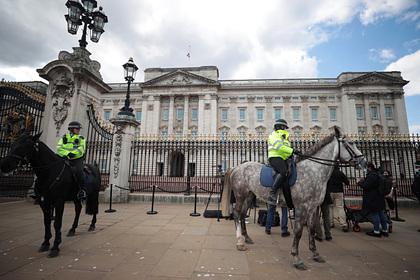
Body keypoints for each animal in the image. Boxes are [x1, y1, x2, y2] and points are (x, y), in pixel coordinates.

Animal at [221, 127, 366, 270]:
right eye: (350, 143)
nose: (364, 162)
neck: (313, 171)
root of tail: (236, 167)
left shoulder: (312, 208)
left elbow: (311, 229)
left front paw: (315, 254)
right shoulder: (301, 208)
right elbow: (298, 231)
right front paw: (297, 258)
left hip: (250, 195)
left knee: (242, 214)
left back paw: (246, 237)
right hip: (240, 195)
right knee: (237, 214)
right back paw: (240, 242)